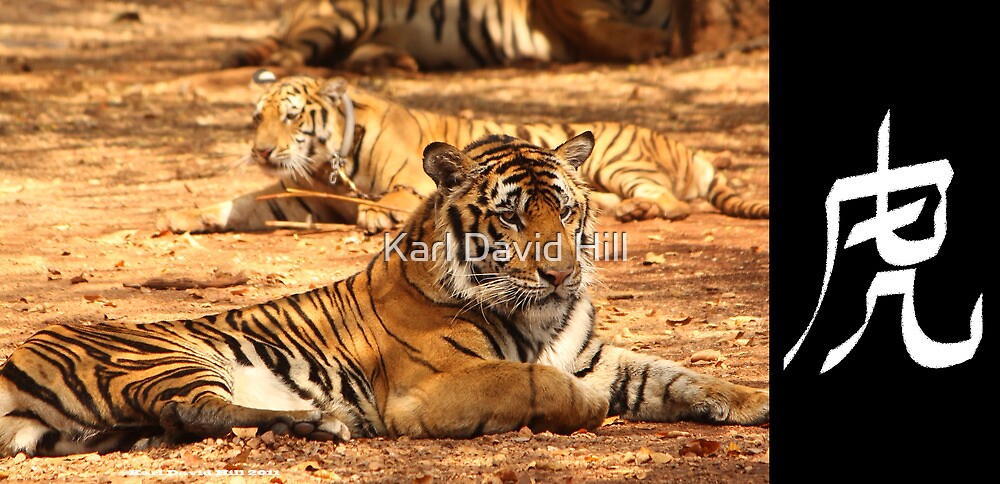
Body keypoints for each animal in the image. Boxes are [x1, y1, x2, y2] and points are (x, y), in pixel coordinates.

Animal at [0, 133, 772, 458]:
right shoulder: (433, 387)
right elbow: (537, 381)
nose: (560, 275)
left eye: (565, 210)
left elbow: (677, 375)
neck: (545, 317)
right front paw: (583, 407)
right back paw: (323, 424)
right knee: (191, 410)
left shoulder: (594, 354)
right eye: (512, 216)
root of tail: (17, 357)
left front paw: (753, 398)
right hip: (172, 355)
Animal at [158, 72, 764, 236]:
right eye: (254, 118)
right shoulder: (299, 195)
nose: (260, 150)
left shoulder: (405, 180)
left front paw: (373, 217)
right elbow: (243, 202)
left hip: (619, 158)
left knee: (673, 202)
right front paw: (186, 215)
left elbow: (386, 199)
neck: (326, 168)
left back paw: (638, 209)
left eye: (289, 117)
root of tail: (685, 145)